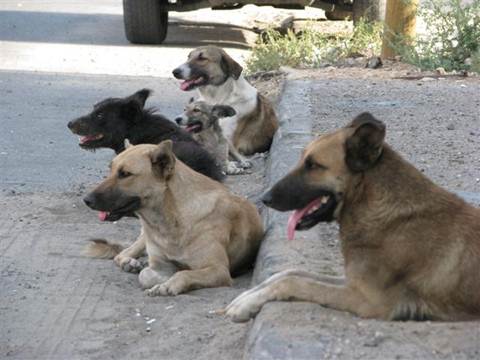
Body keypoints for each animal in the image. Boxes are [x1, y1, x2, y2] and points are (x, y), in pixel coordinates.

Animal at [82, 139, 262, 294]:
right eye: (110, 169)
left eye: (125, 174)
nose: (87, 200)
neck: (173, 217)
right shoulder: (160, 265)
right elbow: (146, 275)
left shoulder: (218, 270)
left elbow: (184, 273)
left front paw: (169, 284)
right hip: (144, 239)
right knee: (122, 253)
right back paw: (130, 262)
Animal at [221, 112, 480, 320]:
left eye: (313, 165)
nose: (265, 198)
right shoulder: (352, 281)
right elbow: (290, 272)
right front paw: (247, 296)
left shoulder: (367, 299)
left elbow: (293, 281)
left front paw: (247, 303)